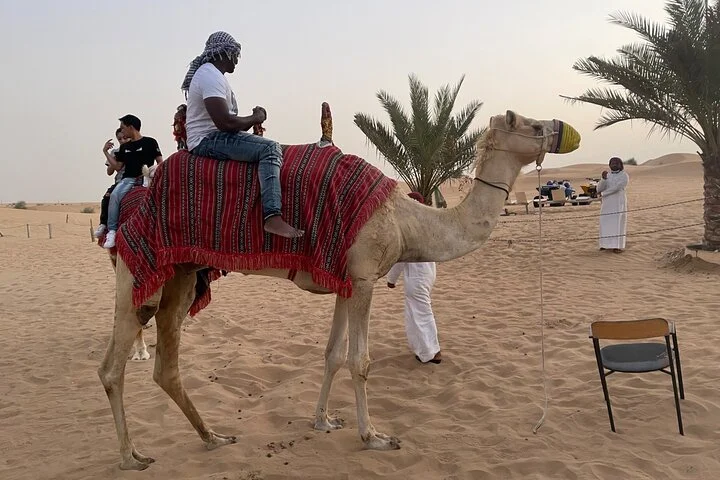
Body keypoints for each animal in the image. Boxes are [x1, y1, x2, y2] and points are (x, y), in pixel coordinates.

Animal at [98, 110, 580, 470]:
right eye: (532, 126)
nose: (565, 130)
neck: (405, 219)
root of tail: (132, 201)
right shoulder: (364, 277)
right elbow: (359, 361)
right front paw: (374, 436)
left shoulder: (345, 280)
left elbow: (332, 354)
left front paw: (324, 421)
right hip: (136, 276)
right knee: (112, 366)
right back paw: (130, 456)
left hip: (181, 275)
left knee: (166, 365)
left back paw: (213, 436)